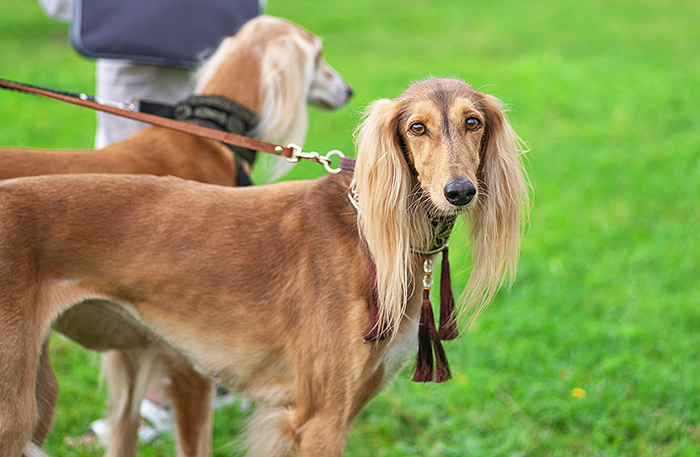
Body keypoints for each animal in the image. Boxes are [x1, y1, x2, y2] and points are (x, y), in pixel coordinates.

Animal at [0, 15, 352, 457]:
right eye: (319, 56)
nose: (349, 90)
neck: (207, 135)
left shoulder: (132, 353)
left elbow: (124, 432)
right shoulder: (190, 364)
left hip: (38, 387)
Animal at [0, 77, 528, 457]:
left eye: (473, 121)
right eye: (417, 127)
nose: (460, 192)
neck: (373, 238)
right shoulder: (318, 420)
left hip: (38, 397)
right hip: (14, 409)